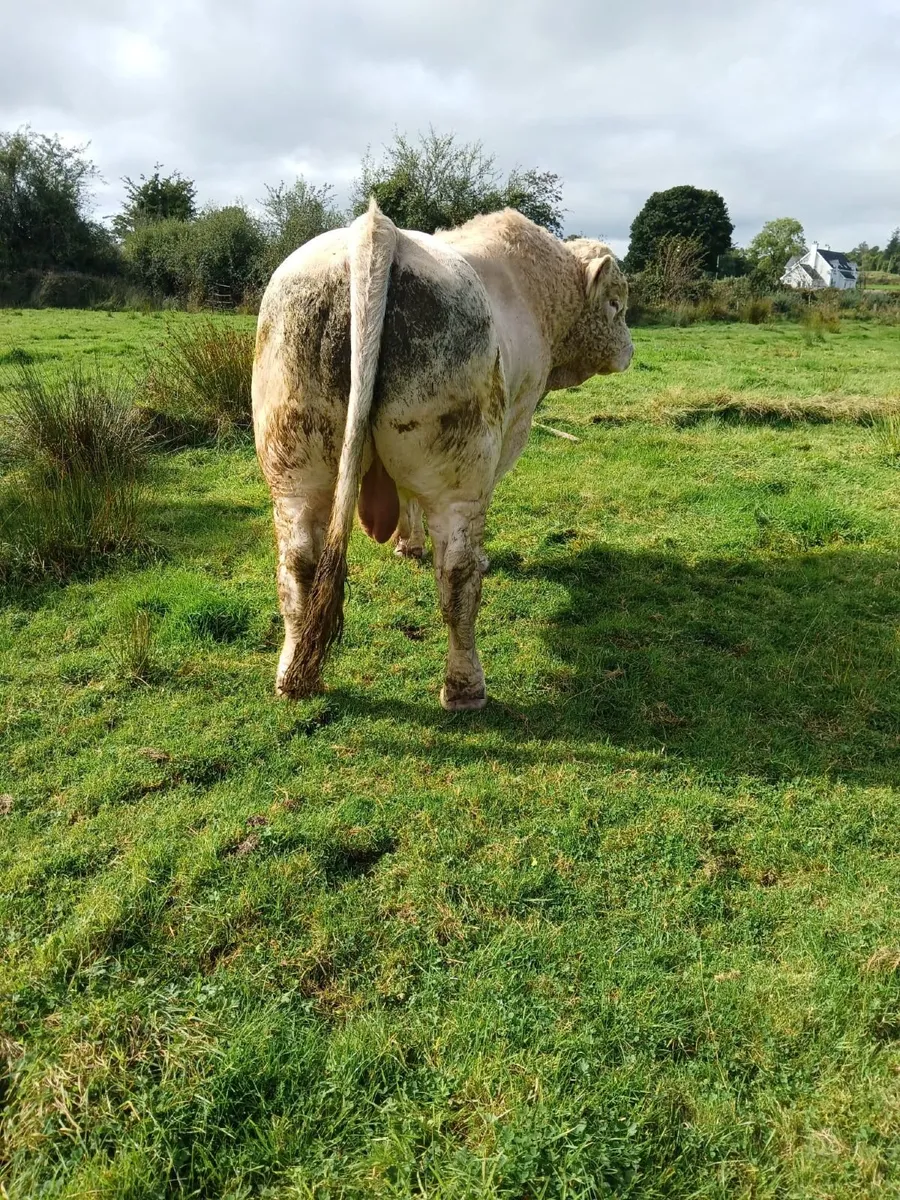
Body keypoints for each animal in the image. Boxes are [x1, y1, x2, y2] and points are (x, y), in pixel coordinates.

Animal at [252, 199, 633, 710]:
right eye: (615, 304)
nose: (629, 350)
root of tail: (377, 229)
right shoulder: (512, 429)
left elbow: (406, 499)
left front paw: (407, 544)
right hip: (459, 474)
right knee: (456, 573)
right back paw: (465, 687)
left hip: (295, 469)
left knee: (298, 564)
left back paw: (294, 678)